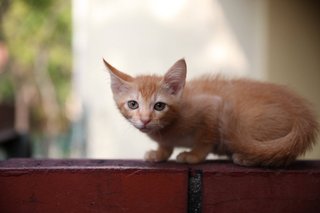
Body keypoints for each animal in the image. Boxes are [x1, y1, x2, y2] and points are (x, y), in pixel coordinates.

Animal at [104, 57, 318, 166]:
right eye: (133, 104)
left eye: (159, 106)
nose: (145, 120)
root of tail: (302, 112)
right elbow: (166, 146)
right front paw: (159, 153)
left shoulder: (212, 106)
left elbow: (206, 138)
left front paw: (194, 156)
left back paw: (247, 157)